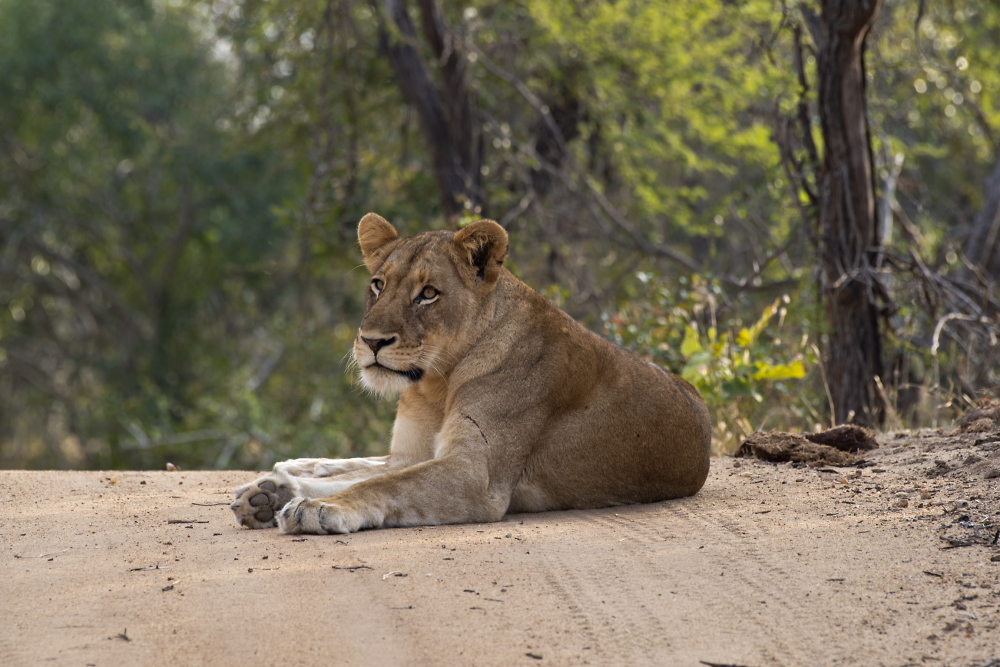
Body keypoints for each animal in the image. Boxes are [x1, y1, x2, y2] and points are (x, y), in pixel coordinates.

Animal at [230, 213, 711, 534]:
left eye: (427, 294)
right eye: (378, 285)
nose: (371, 341)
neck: (435, 384)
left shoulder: (475, 473)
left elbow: (384, 484)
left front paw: (315, 508)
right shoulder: (417, 451)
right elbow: (378, 473)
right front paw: (274, 495)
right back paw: (276, 482)